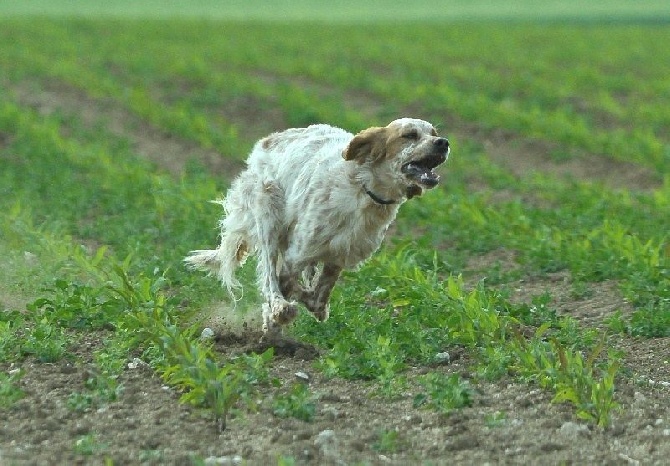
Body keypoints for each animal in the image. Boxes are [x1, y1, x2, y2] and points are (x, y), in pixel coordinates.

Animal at [185, 118, 452, 334]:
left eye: (433, 132)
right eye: (410, 135)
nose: (443, 142)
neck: (362, 191)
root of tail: (267, 142)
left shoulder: (339, 256)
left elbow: (317, 296)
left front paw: (300, 312)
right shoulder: (297, 254)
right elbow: (284, 283)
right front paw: (278, 314)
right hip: (268, 210)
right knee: (270, 273)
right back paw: (280, 309)